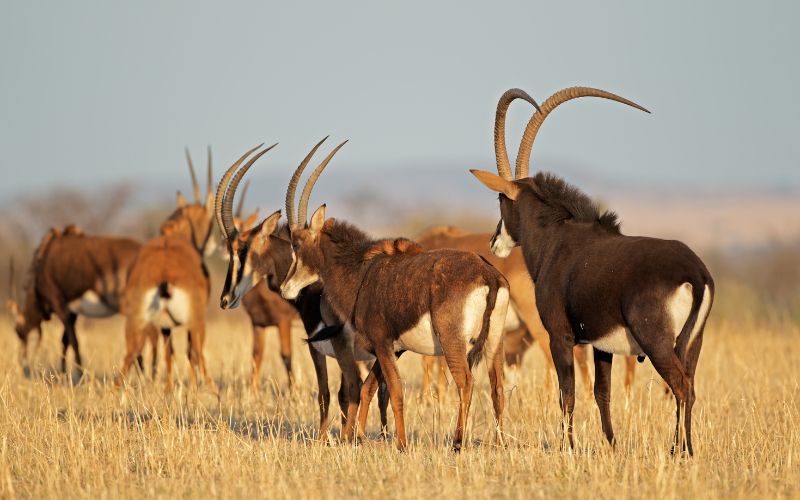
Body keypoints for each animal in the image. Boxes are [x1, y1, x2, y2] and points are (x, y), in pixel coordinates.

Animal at [117, 148, 217, 392]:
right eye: (208, 220)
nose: (210, 244)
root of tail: (163, 276)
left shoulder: (164, 326)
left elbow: (169, 353)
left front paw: (170, 390)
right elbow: (188, 354)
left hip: (137, 324)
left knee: (129, 359)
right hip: (197, 322)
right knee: (197, 352)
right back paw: (213, 392)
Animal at [214, 141, 390, 440]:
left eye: (243, 250)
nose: (225, 299)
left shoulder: (318, 347)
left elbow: (327, 394)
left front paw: (323, 440)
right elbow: (343, 394)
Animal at [278, 140, 510, 452]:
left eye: (296, 244)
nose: (285, 288)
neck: (361, 270)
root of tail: (488, 275)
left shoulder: (383, 343)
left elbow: (395, 391)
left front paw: (399, 443)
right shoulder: (393, 348)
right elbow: (369, 388)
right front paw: (357, 438)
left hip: (453, 343)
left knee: (466, 382)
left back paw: (457, 443)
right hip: (495, 343)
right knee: (497, 386)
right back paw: (499, 443)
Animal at [471, 86, 714, 455]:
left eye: (501, 199)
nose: (493, 242)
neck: (556, 238)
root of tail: (695, 274)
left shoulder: (560, 336)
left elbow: (567, 394)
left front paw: (567, 448)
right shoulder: (602, 345)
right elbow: (602, 394)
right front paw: (611, 446)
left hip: (657, 343)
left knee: (681, 386)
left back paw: (677, 451)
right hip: (692, 344)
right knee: (691, 387)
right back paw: (686, 449)